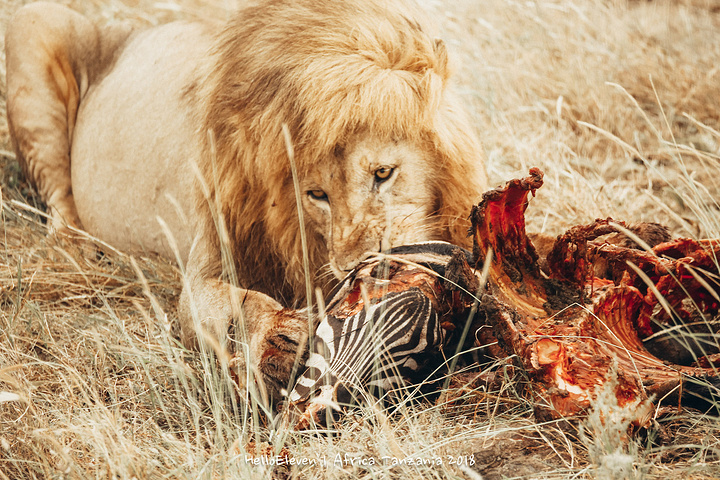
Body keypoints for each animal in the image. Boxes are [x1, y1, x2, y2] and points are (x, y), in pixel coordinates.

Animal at [5, 0, 486, 404]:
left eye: (383, 174)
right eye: (317, 195)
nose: (359, 270)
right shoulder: (207, 264)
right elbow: (238, 301)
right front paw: (278, 343)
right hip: (33, 23)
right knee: (59, 204)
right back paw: (82, 255)